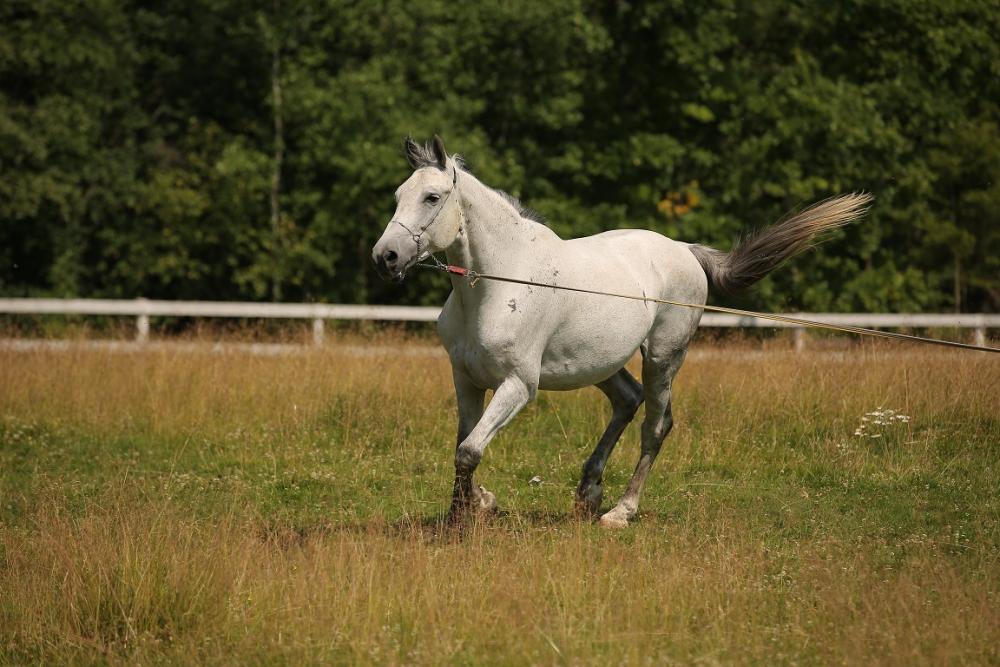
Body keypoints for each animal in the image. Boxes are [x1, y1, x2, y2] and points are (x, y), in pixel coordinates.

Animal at [372, 135, 871, 528]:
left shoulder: (518, 385)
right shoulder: (466, 378)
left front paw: (466, 515)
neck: (499, 283)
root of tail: (685, 251)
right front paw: (475, 505)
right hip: (600, 361)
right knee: (627, 400)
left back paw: (620, 512)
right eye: (397, 194)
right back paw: (589, 492)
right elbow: (464, 444)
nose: (386, 257)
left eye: (432, 197)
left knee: (656, 425)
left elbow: (470, 450)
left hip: (663, 357)